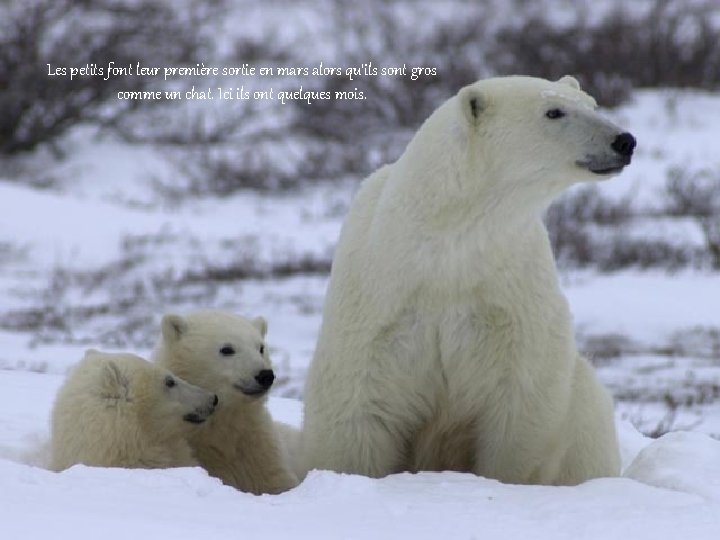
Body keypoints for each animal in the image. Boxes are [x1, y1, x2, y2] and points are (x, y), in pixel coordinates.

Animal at [300, 76, 636, 486]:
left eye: (591, 103)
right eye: (554, 111)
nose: (624, 141)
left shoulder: (510, 295)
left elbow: (521, 400)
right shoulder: (379, 305)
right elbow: (358, 405)